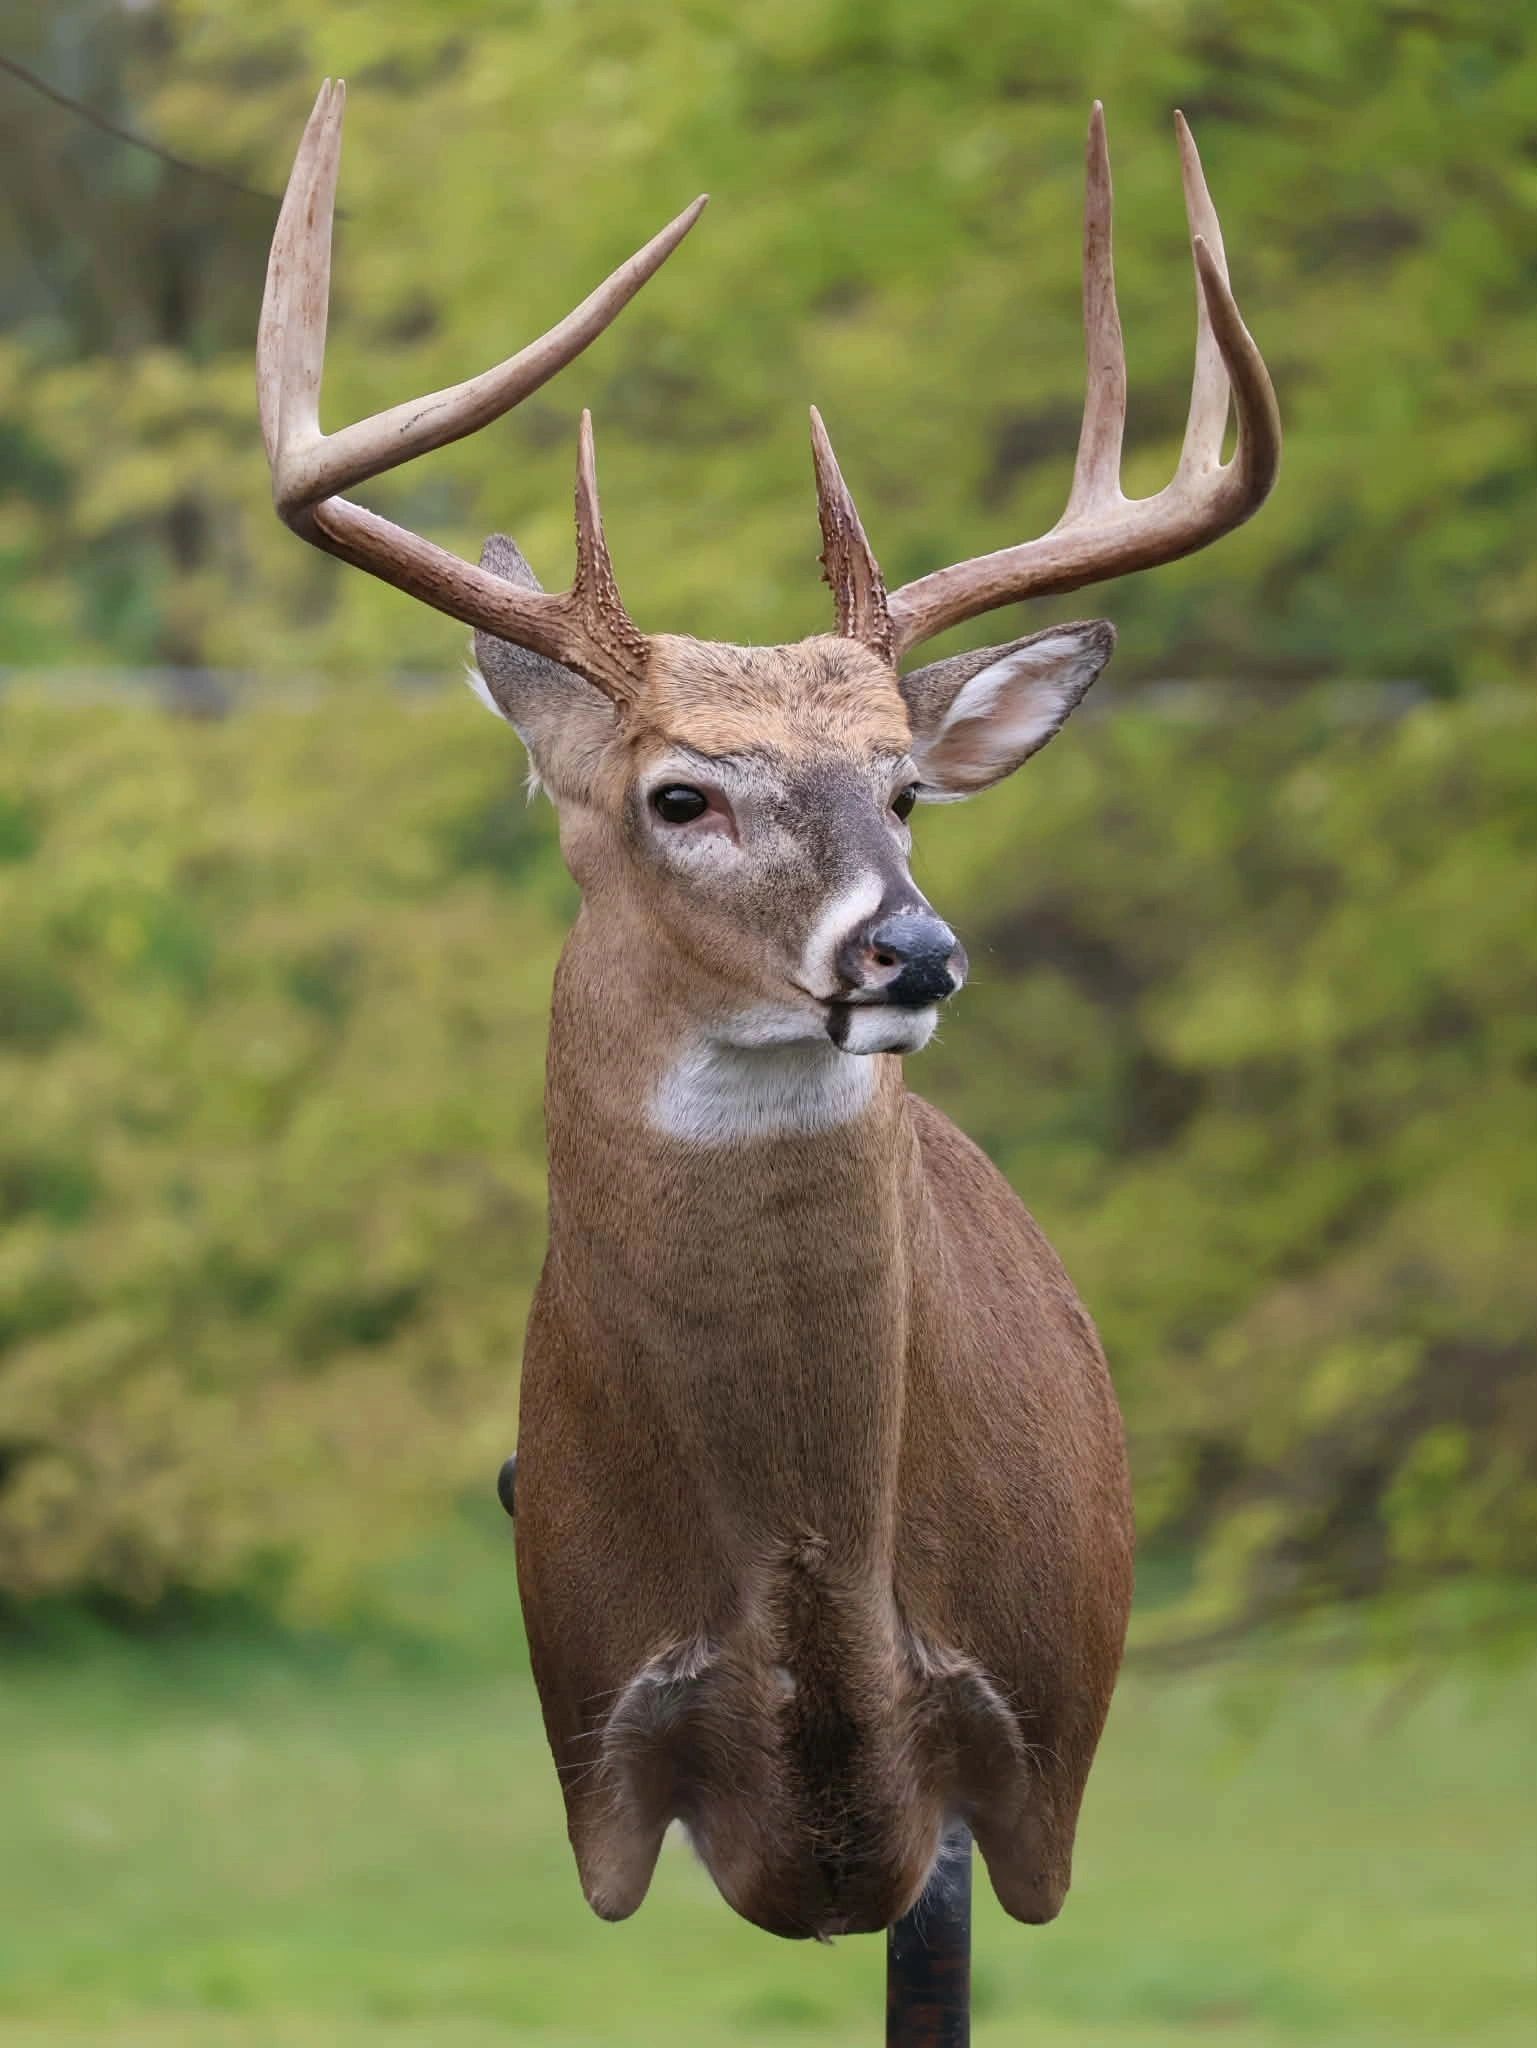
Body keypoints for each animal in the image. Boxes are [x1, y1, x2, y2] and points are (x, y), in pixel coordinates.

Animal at [259, 81, 1279, 1942]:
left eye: (905, 788)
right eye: (681, 796)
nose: (912, 953)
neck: (812, 1591)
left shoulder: (1026, 1771)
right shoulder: (597, 1751)